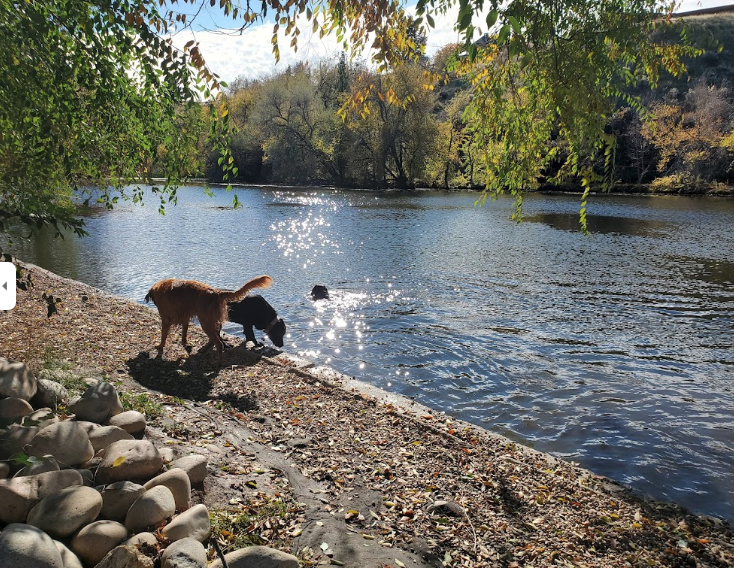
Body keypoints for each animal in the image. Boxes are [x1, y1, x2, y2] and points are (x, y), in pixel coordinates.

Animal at [144, 276, 274, 364]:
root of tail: (216, 293)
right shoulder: (185, 319)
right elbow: (184, 334)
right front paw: (185, 343)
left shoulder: (165, 320)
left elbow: (163, 336)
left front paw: (160, 346)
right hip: (211, 321)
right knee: (215, 339)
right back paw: (205, 350)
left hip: (205, 321)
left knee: (218, 343)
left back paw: (218, 363)